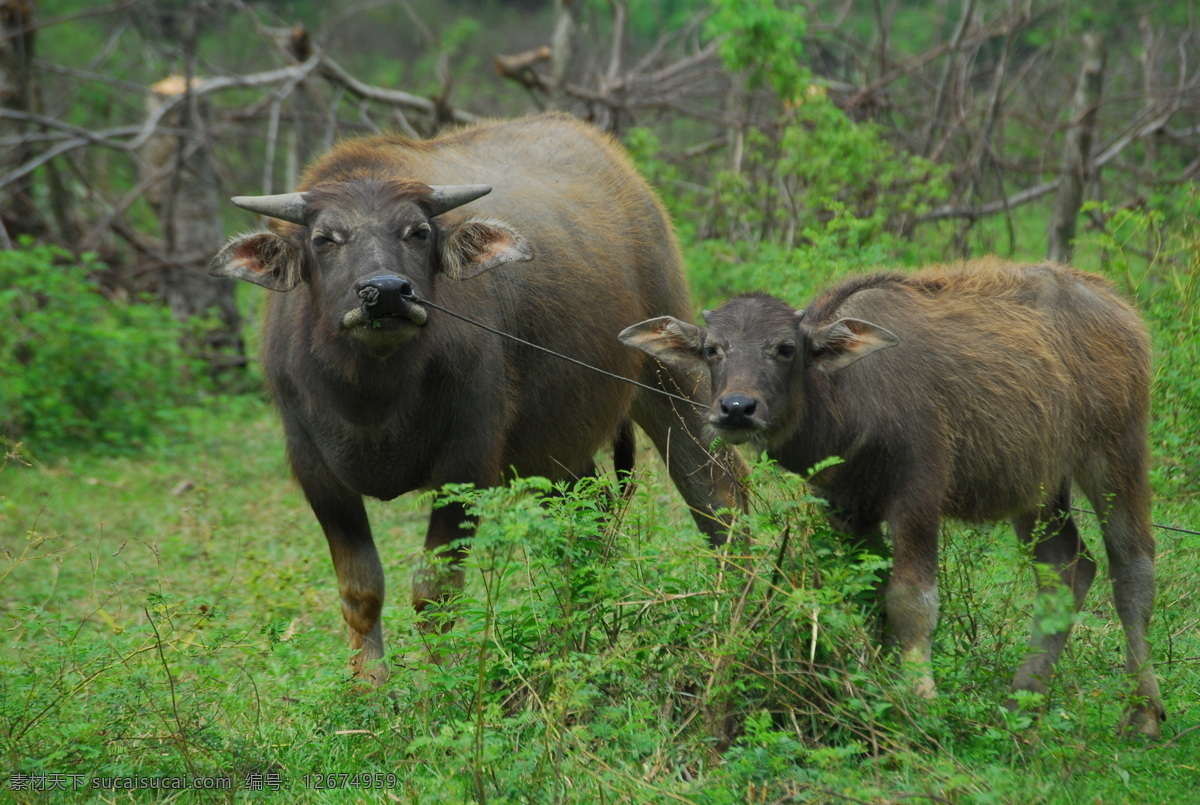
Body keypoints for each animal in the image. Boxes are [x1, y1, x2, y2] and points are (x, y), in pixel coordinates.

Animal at [211, 115, 744, 686]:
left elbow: (435, 594)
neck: (374, 395)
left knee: (716, 491)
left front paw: (441, 688)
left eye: (418, 232)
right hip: (555, 447)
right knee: (587, 517)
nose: (386, 292)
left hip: (669, 367)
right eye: (324, 239)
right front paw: (368, 689)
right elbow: (361, 591)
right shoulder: (317, 474)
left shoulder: (466, 464)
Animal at [624, 257, 1166, 739]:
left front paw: (919, 703)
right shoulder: (847, 509)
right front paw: (872, 690)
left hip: (1115, 454)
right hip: (1036, 486)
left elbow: (910, 602)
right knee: (1066, 568)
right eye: (713, 350)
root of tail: (1120, 309)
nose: (736, 409)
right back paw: (1023, 703)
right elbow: (870, 597)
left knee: (1132, 568)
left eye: (785, 348)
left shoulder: (918, 496)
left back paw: (1143, 713)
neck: (851, 399)